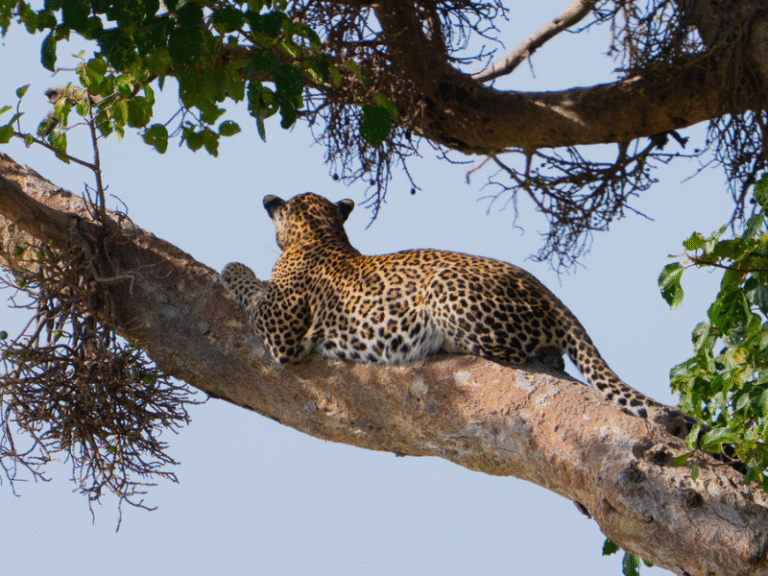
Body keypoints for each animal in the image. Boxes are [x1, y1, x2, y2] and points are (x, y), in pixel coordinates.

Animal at [221, 192, 661, 419]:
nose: (267, 199)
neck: (321, 233)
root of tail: (547, 291)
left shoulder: (282, 333)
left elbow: (252, 290)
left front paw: (231, 269)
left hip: (444, 288)